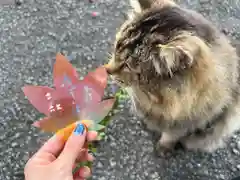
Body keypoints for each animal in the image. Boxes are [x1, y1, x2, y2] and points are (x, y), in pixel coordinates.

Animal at [106, 0, 240, 153]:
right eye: (116, 49)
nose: (107, 70)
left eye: (127, 66)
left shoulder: (191, 121)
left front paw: (164, 146)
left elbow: (172, 134)